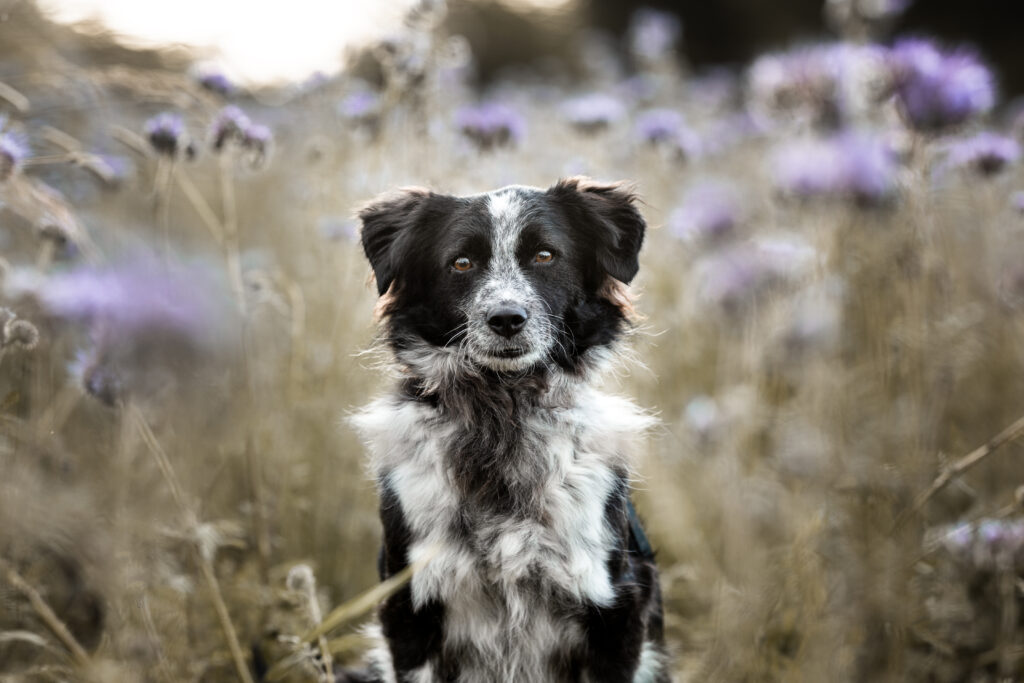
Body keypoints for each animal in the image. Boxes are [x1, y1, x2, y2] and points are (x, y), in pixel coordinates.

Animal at [350, 178, 671, 683]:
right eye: (461, 262)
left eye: (545, 255)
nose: (506, 319)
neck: (502, 419)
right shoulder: (411, 611)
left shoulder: (615, 609)